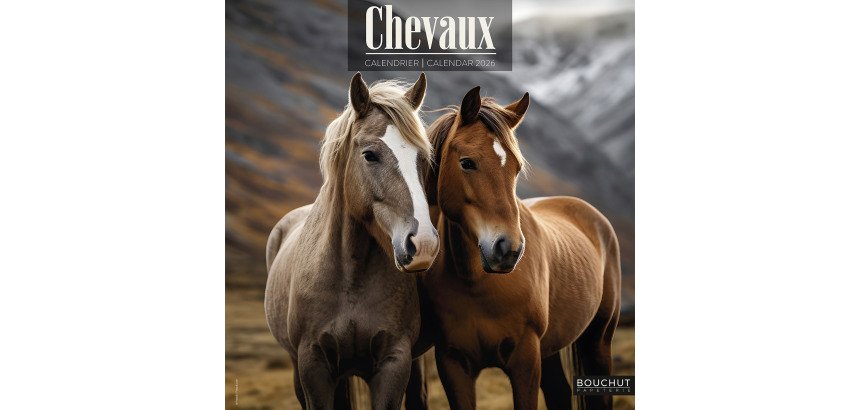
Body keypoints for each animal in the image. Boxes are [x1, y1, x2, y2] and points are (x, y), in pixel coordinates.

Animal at [265, 73, 439, 410]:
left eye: (423, 159)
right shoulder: (313, 365)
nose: (423, 244)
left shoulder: (394, 362)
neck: (350, 275)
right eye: (370, 155)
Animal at [422, 86, 622, 410]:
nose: (508, 250)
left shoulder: (525, 359)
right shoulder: (453, 365)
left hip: (598, 340)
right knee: (559, 392)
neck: (475, 283)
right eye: (467, 162)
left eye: (516, 168)